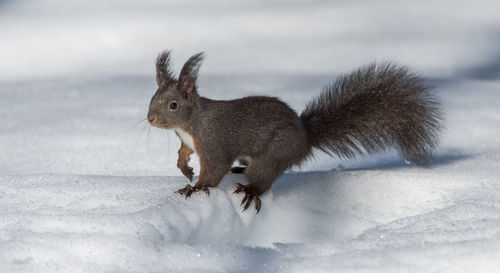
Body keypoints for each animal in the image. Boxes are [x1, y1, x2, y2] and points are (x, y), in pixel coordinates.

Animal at [147, 50, 442, 212]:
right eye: (152, 97)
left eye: (173, 105)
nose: (150, 119)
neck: (190, 123)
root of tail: (305, 137)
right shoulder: (189, 141)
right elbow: (185, 152)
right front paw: (184, 166)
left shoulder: (214, 142)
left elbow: (214, 170)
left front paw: (195, 188)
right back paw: (240, 170)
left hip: (277, 151)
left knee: (263, 176)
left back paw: (251, 190)